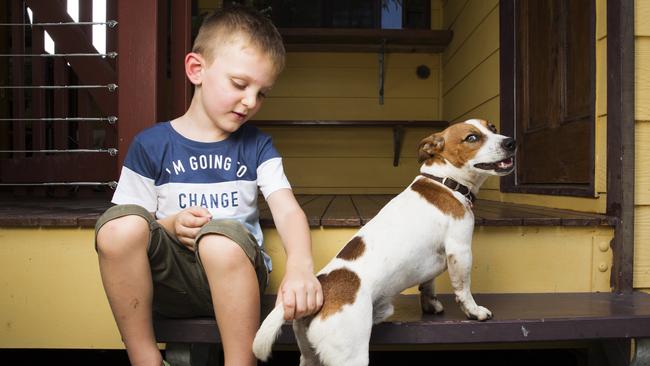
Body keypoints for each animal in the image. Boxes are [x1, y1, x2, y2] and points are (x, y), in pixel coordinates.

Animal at [251, 118, 512, 364]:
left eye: (493, 127)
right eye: (472, 137)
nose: (511, 142)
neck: (445, 181)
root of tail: (322, 287)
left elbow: (428, 286)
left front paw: (431, 306)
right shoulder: (460, 251)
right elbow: (463, 289)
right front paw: (474, 311)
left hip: (309, 356)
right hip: (351, 355)